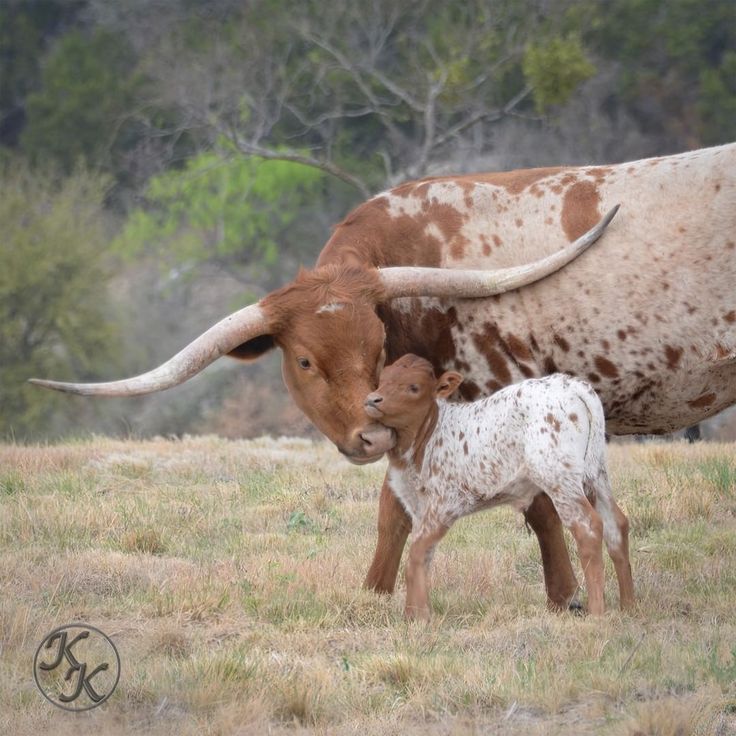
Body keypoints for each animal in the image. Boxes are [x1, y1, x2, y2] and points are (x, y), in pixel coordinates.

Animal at [366, 354, 636, 620]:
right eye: (382, 380)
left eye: (414, 387)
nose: (372, 400)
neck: (427, 437)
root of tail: (573, 386)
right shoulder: (420, 508)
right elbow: (424, 555)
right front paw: (414, 614)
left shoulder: (446, 502)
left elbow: (416, 553)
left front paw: (419, 618)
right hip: (596, 474)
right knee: (616, 524)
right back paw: (628, 606)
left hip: (558, 476)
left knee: (588, 527)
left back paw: (597, 614)